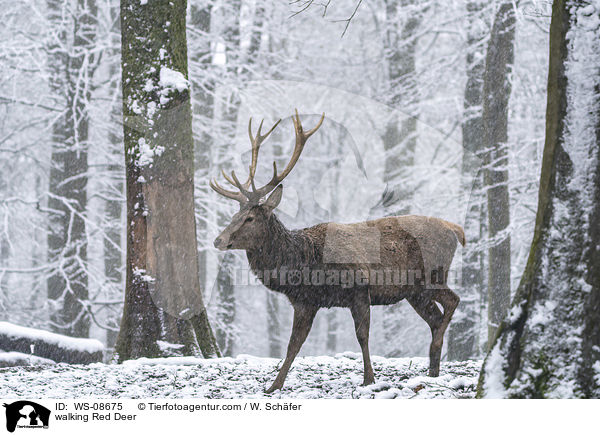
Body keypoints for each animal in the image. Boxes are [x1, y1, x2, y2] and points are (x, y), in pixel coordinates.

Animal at [211, 110, 464, 394]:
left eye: (250, 218)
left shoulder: (359, 288)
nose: (218, 240)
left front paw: (369, 379)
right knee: (435, 318)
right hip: (415, 292)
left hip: (432, 276)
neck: (307, 265)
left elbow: (362, 335)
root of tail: (455, 229)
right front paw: (273, 386)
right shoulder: (305, 302)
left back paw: (435, 353)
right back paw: (432, 371)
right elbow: (293, 344)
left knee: (453, 301)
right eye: (235, 215)